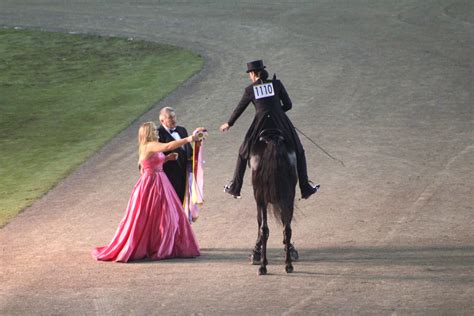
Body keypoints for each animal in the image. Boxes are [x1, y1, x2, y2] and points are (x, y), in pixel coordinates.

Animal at [250, 128, 298, 274]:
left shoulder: (260, 200)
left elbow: (260, 223)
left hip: (261, 198)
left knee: (264, 228)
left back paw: (263, 265)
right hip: (287, 198)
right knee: (286, 228)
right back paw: (288, 264)